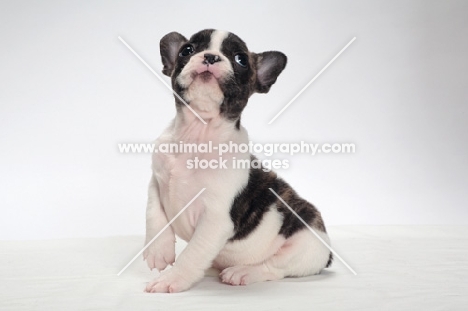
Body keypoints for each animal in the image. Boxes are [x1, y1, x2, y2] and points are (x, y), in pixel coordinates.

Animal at [144, 28, 330, 294]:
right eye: (187, 50)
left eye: (241, 59)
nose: (210, 57)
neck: (196, 135)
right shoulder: (156, 182)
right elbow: (153, 214)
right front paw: (157, 251)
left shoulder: (215, 219)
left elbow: (192, 253)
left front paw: (172, 279)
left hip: (305, 242)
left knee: (274, 268)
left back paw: (243, 272)